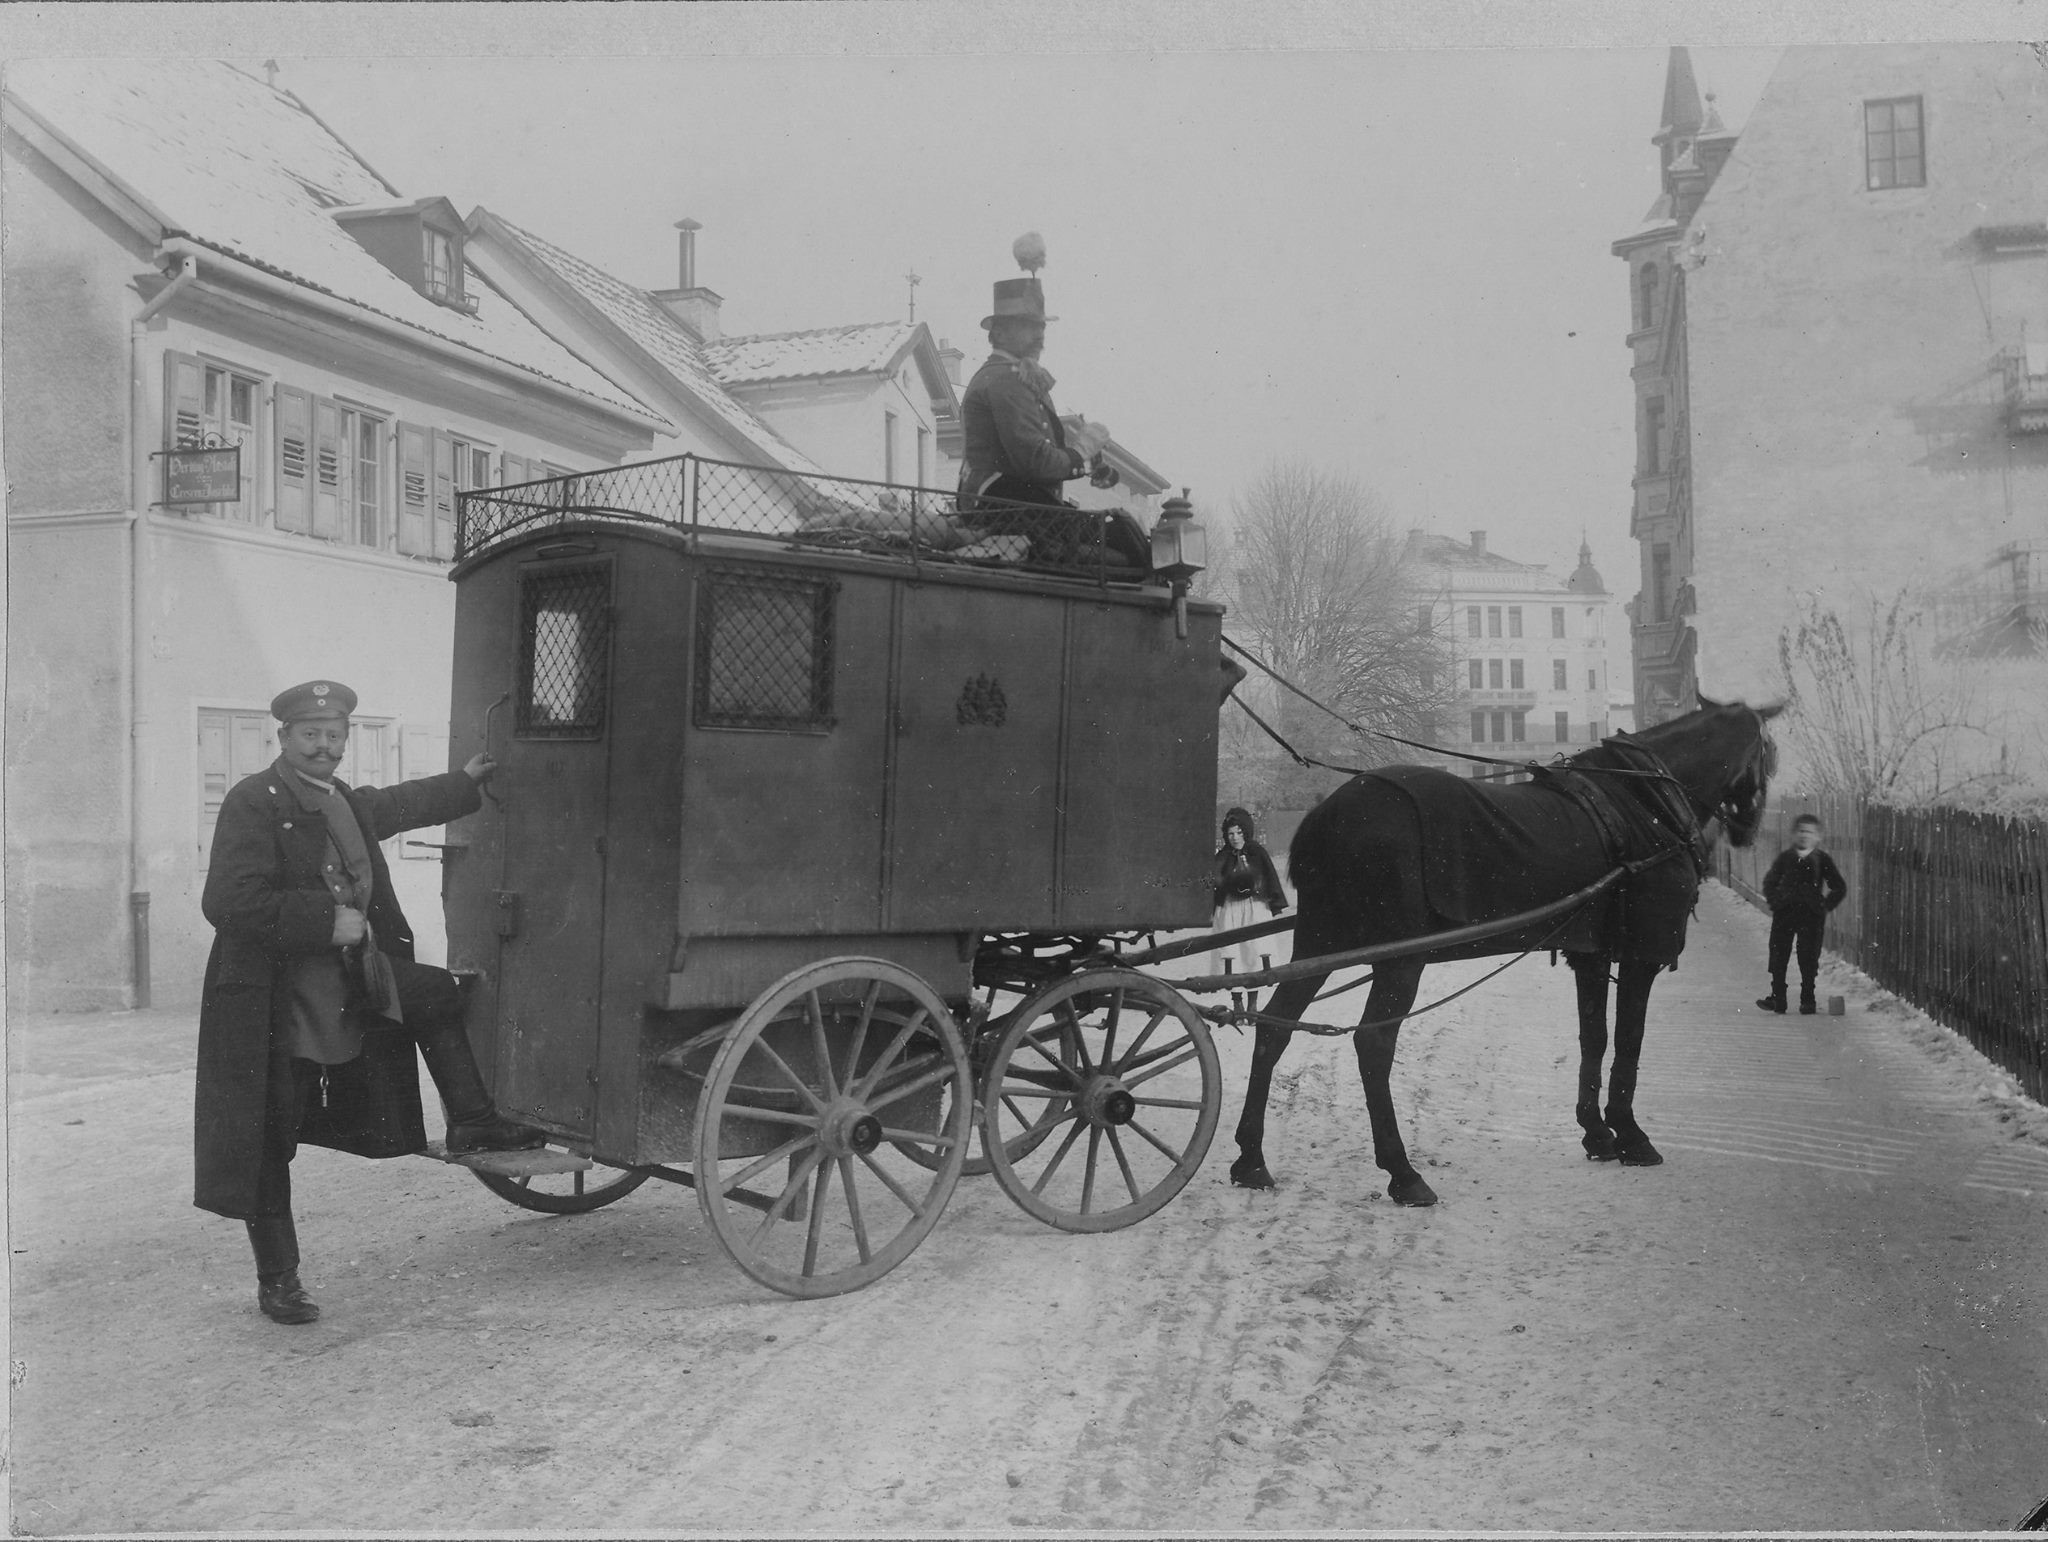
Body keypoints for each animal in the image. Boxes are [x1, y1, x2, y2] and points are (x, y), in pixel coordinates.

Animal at [1229, 696, 1781, 1207]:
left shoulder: (1592, 953)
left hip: (1322, 943)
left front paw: (1597, 1132)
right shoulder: (1641, 952)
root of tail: (1327, 814)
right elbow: (1629, 1043)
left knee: (1274, 1030)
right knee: (1373, 1044)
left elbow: (1595, 1038)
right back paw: (1402, 1172)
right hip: (1400, 959)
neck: (1643, 801)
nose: (1749, 828)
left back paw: (1251, 1158)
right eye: (1767, 750)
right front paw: (1630, 1135)